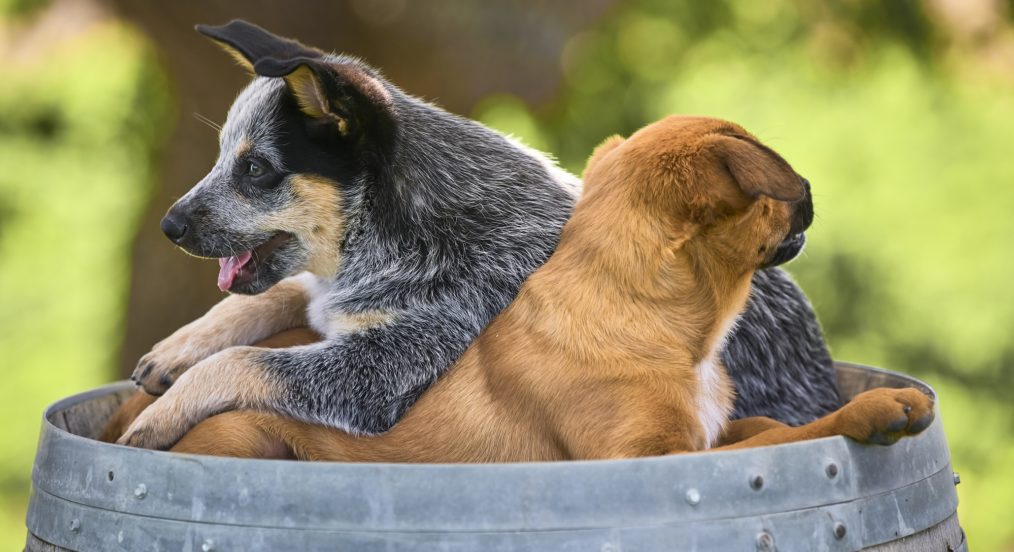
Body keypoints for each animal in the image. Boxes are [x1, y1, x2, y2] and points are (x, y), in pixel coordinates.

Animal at [116, 21, 831, 450]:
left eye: (256, 169)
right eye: (222, 158)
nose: (168, 225)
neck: (403, 229)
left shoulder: (383, 373)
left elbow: (246, 360)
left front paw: (159, 414)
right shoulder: (329, 298)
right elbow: (275, 297)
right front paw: (178, 350)